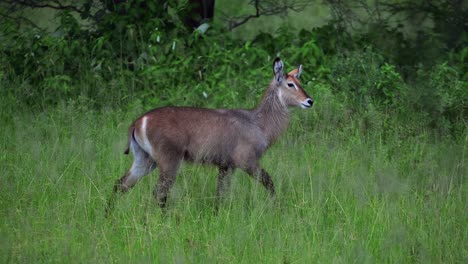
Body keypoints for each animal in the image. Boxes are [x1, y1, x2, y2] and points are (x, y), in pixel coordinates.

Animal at [107, 57, 312, 212]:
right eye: (290, 84)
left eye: (300, 82)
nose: (310, 101)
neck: (258, 123)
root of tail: (139, 121)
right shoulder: (247, 161)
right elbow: (269, 183)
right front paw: (277, 209)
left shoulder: (226, 165)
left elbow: (220, 193)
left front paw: (217, 215)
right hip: (168, 161)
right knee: (159, 192)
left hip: (145, 159)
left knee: (120, 184)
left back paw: (108, 215)